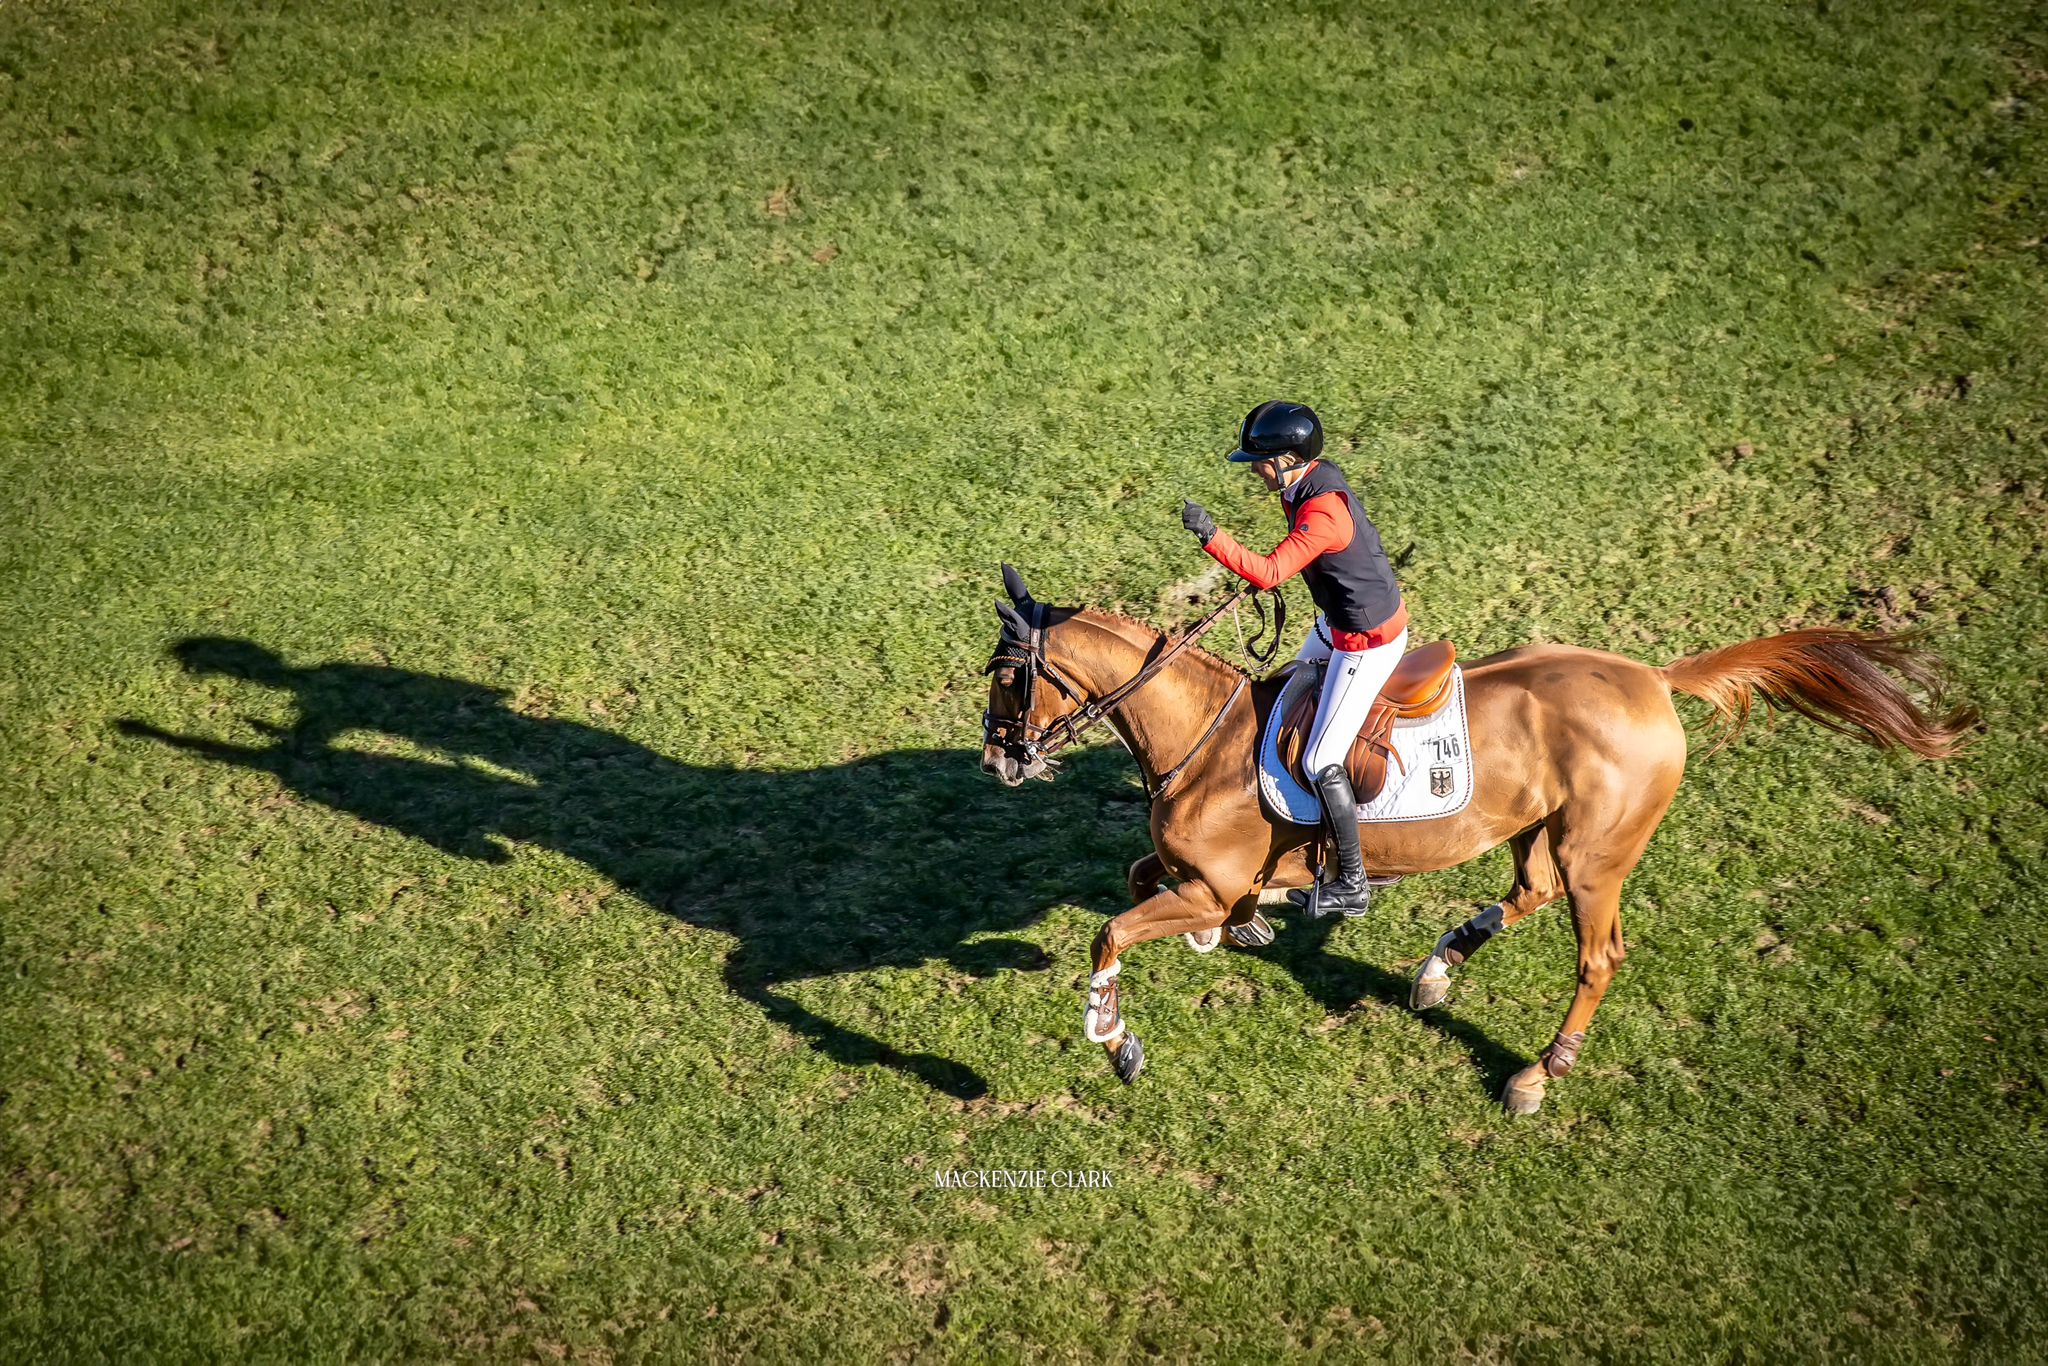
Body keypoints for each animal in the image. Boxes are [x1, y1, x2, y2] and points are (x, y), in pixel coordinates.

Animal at [983, 565, 1974, 1114]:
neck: (1204, 735)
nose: (999, 758)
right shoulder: (1192, 876)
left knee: (1597, 956)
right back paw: (1437, 969)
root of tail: (1650, 679)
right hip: (1537, 829)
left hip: (1594, 854)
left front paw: (1114, 1037)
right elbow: (1137, 877)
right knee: (1526, 892)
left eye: (1006, 679)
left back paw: (1539, 1073)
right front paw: (1242, 929)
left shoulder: (1206, 880)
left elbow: (1111, 929)